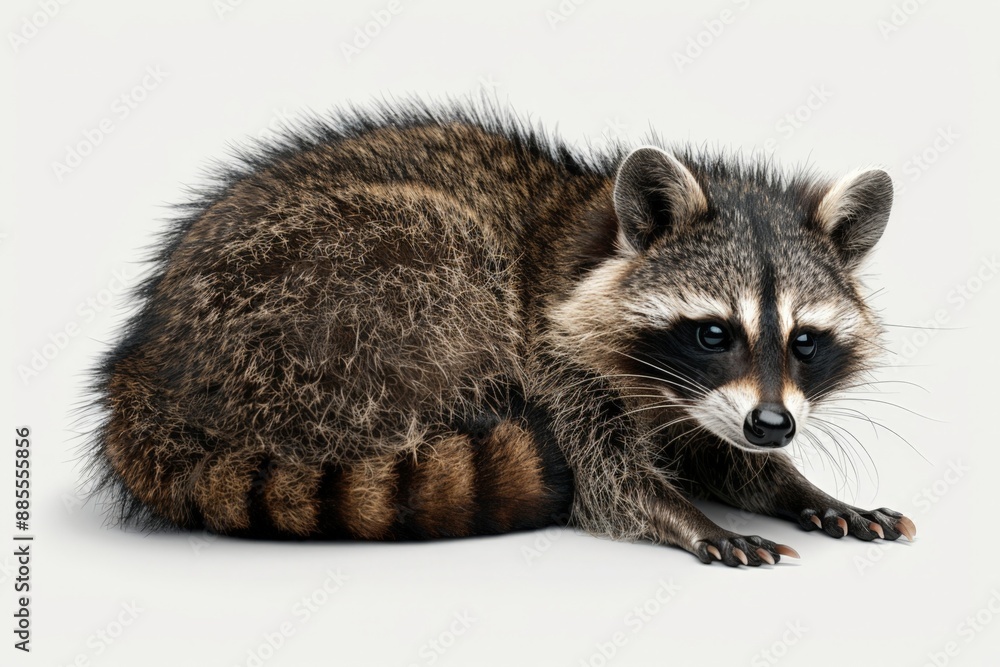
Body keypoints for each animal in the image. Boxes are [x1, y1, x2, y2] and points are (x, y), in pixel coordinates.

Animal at [84, 100, 916, 566]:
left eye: (804, 340)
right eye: (714, 333)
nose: (773, 425)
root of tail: (142, 372)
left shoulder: (709, 404)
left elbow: (725, 455)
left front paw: (800, 486)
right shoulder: (557, 361)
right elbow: (606, 480)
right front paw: (683, 514)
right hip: (328, 297)